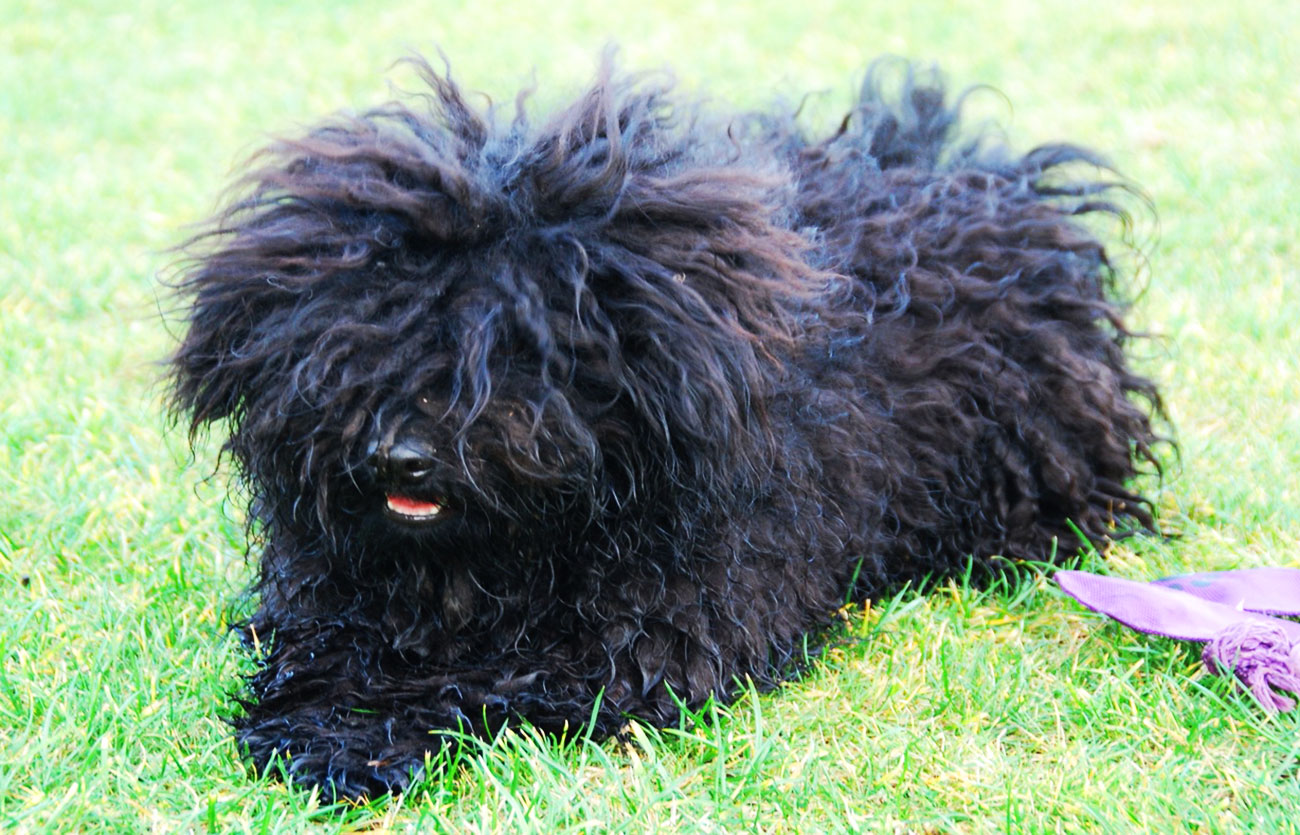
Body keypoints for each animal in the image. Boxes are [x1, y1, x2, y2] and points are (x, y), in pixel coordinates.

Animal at [170, 55, 1159, 795]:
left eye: (521, 347)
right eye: (355, 339)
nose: (400, 456)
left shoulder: (659, 628)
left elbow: (492, 681)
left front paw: (362, 737)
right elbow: (324, 645)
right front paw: (313, 716)